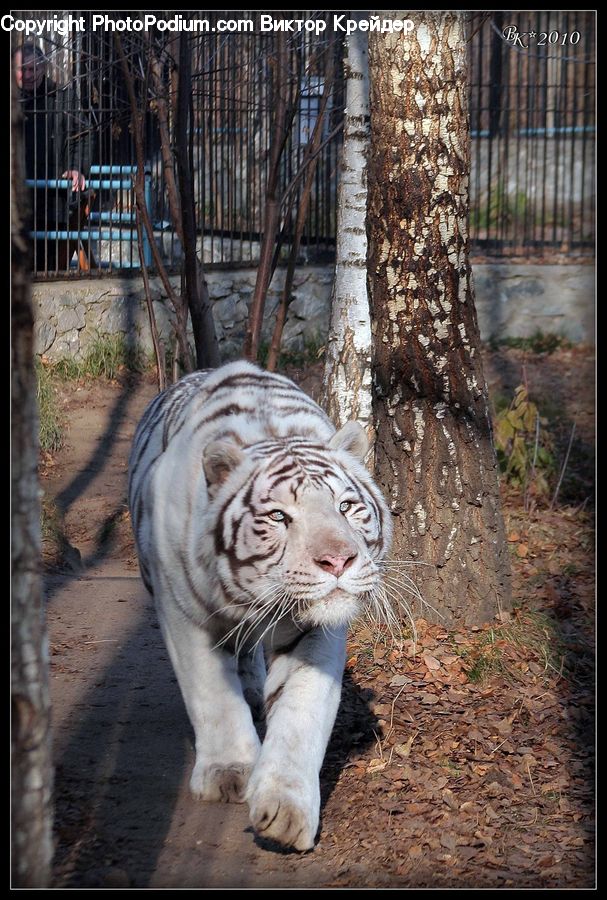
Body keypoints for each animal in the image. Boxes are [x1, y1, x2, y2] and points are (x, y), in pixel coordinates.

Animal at [129, 360, 394, 852]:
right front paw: (229, 772)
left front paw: (286, 809)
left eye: (347, 507)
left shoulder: (319, 632)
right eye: (277, 517)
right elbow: (213, 696)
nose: (338, 561)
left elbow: (302, 710)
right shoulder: (184, 613)